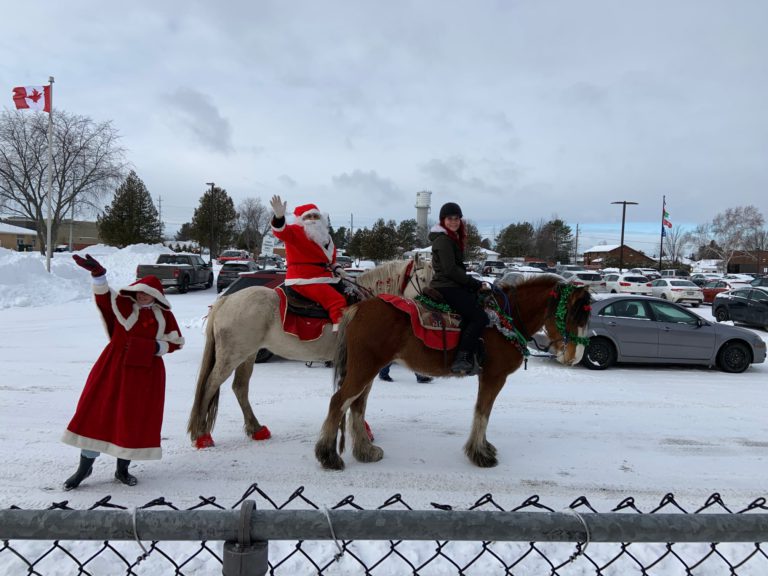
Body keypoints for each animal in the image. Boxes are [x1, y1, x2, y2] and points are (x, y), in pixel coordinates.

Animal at [187, 258, 432, 448]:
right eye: (423, 279)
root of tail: (227, 299)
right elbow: (358, 397)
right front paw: (363, 431)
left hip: (247, 355)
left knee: (240, 387)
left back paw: (256, 429)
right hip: (232, 356)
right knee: (210, 385)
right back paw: (202, 435)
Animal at [316, 276, 592, 470]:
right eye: (572, 313)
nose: (576, 356)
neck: (505, 319)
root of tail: (358, 309)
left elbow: (484, 412)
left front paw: (483, 449)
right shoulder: (493, 377)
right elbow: (483, 412)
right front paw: (480, 454)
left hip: (368, 370)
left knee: (357, 405)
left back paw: (365, 451)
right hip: (364, 369)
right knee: (338, 402)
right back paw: (328, 456)